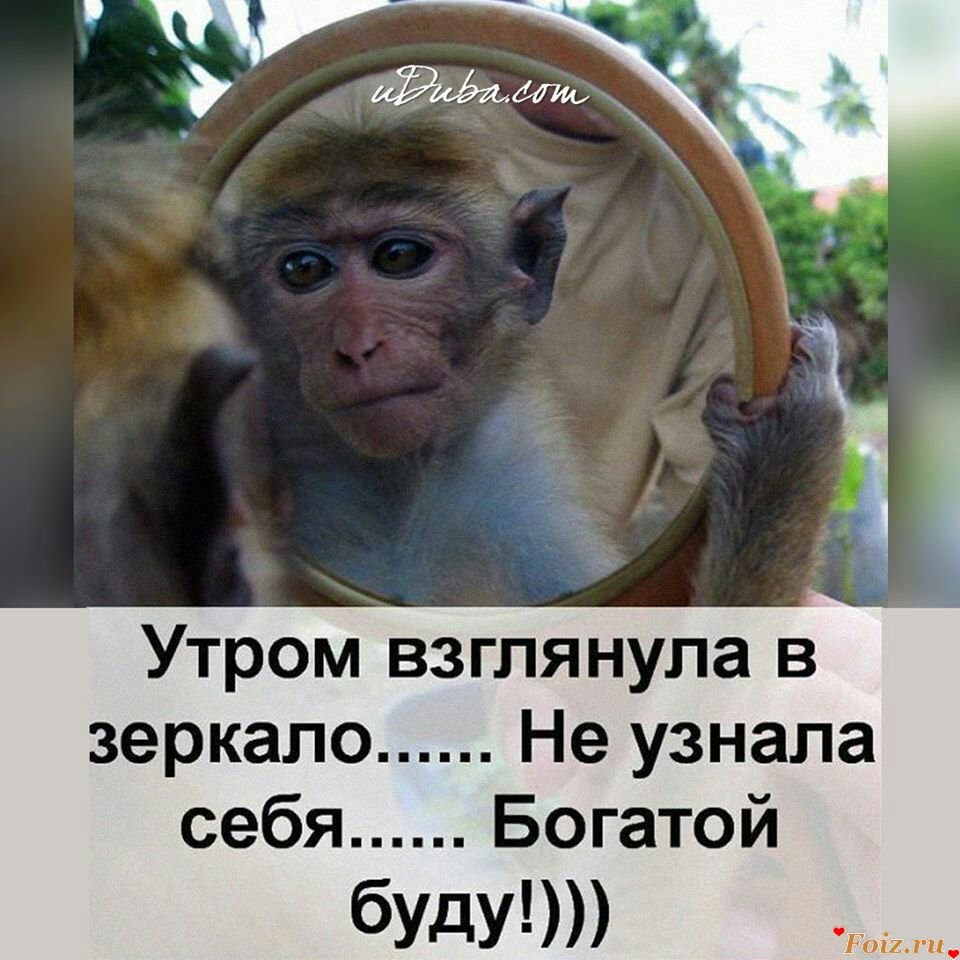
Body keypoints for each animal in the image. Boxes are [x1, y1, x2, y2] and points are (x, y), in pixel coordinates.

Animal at [220, 112, 846, 606]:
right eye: (304, 269)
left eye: (398, 257)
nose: (356, 346)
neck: (402, 477)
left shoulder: (526, 495)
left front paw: (785, 442)